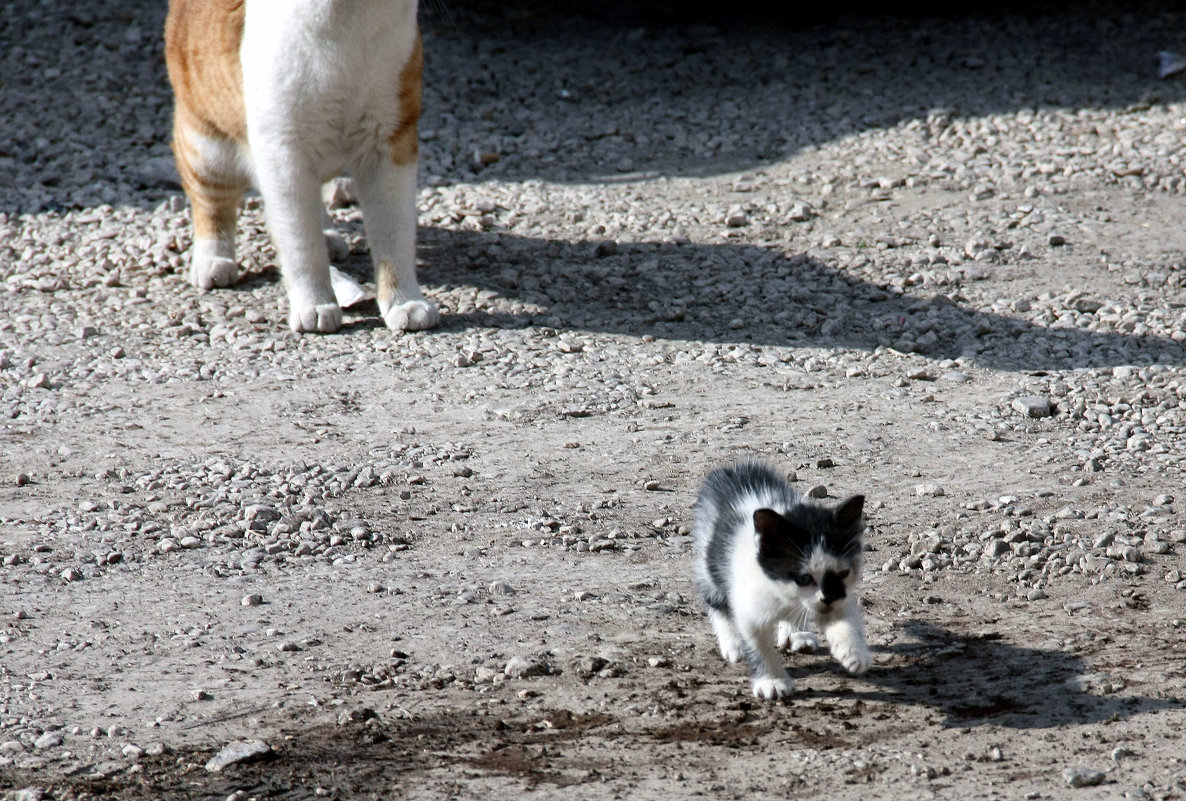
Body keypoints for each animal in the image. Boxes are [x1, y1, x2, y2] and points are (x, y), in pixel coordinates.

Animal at [164, 0, 438, 334]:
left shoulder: (389, 144)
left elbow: (394, 236)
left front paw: (404, 302)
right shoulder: (285, 153)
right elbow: (302, 243)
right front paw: (315, 303)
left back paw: (329, 235)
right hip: (208, 147)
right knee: (212, 205)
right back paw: (213, 259)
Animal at [692, 460, 872, 697]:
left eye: (843, 573)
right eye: (804, 578)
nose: (828, 598)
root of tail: (733, 468)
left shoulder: (839, 595)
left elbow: (844, 617)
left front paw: (853, 652)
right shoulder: (748, 605)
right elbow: (759, 646)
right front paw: (772, 681)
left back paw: (797, 634)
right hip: (709, 557)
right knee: (714, 597)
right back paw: (732, 643)